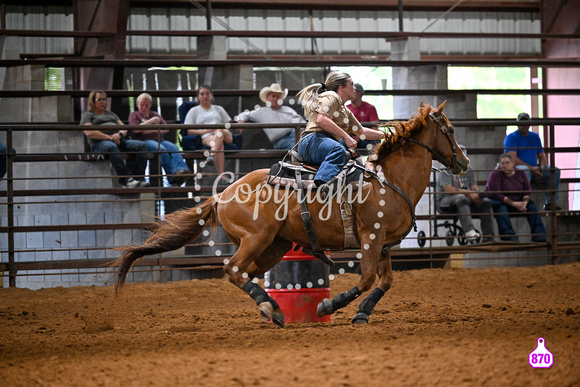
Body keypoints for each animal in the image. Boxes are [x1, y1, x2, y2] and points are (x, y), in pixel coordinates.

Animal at [111, 101, 468, 328]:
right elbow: (367, 278)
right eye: (450, 130)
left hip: (275, 245)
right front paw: (329, 306)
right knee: (233, 268)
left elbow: (386, 282)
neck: (390, 179)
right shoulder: (370, 236)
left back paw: (270, 308)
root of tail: (223, 194)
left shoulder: (384, 244)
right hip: (256, 238)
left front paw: (362, 313)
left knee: (246, 273)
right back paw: (271, 308)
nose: (464, 162)